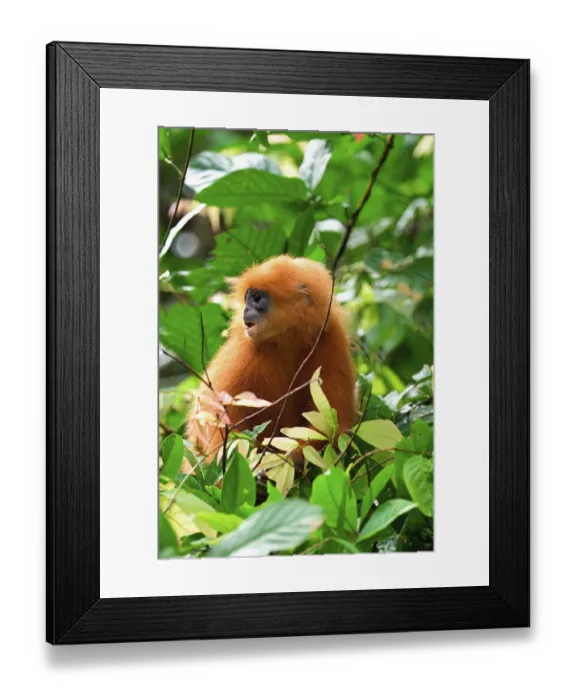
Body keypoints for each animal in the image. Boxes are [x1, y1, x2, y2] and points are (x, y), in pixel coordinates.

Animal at [187, 255, 357, 454]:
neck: (287, 341)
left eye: (257, 298)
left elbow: (335, 425)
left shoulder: (330, 338)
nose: (246, 310)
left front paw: (294, 457)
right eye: (247, 300)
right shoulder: (243, 351)